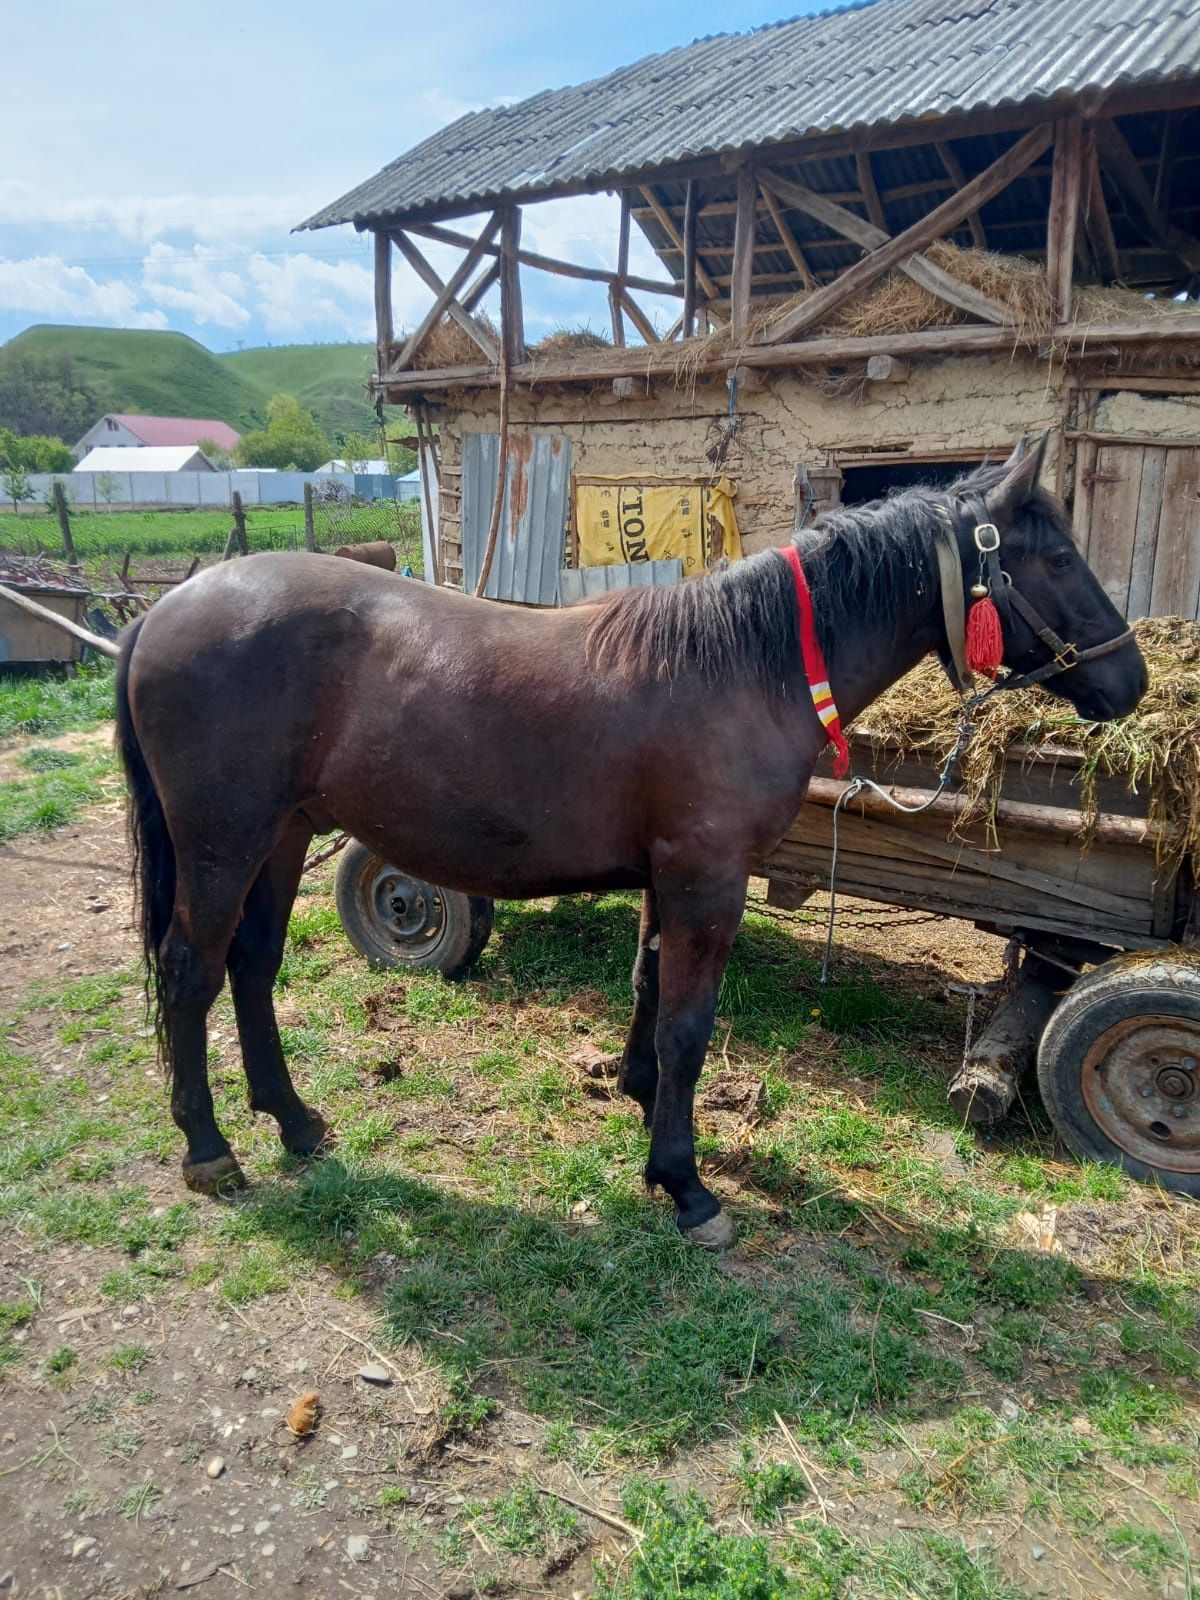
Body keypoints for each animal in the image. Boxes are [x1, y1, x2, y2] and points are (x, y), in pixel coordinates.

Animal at [117, 441, 1152, 1248]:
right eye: (1057, 557)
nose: (1131, 681)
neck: (748, 667)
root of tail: (165, 610)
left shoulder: (671, 879)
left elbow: (650, 990)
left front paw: (637, 1098)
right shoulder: (708, 882)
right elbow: (690, 1024)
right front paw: (686, 1184)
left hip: (281, 837)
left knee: (252, 966)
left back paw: (293, 1122)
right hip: (223, 844)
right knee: (191, 973)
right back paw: (209, 1149)